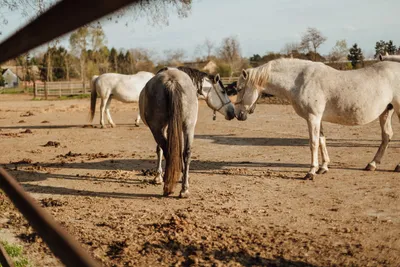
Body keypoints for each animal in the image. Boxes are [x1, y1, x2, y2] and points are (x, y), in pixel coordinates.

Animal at [234, 58, 400, 180]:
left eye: (239, 89)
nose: (239, 115)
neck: (299, 81)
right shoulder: (318, 119)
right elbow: (322, 140)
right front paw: (323, 167)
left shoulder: (313, 118)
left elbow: (313, 143)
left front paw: (311, 171)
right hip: (386, 111)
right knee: (386, 136)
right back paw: (372, 164)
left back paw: (397, 167)